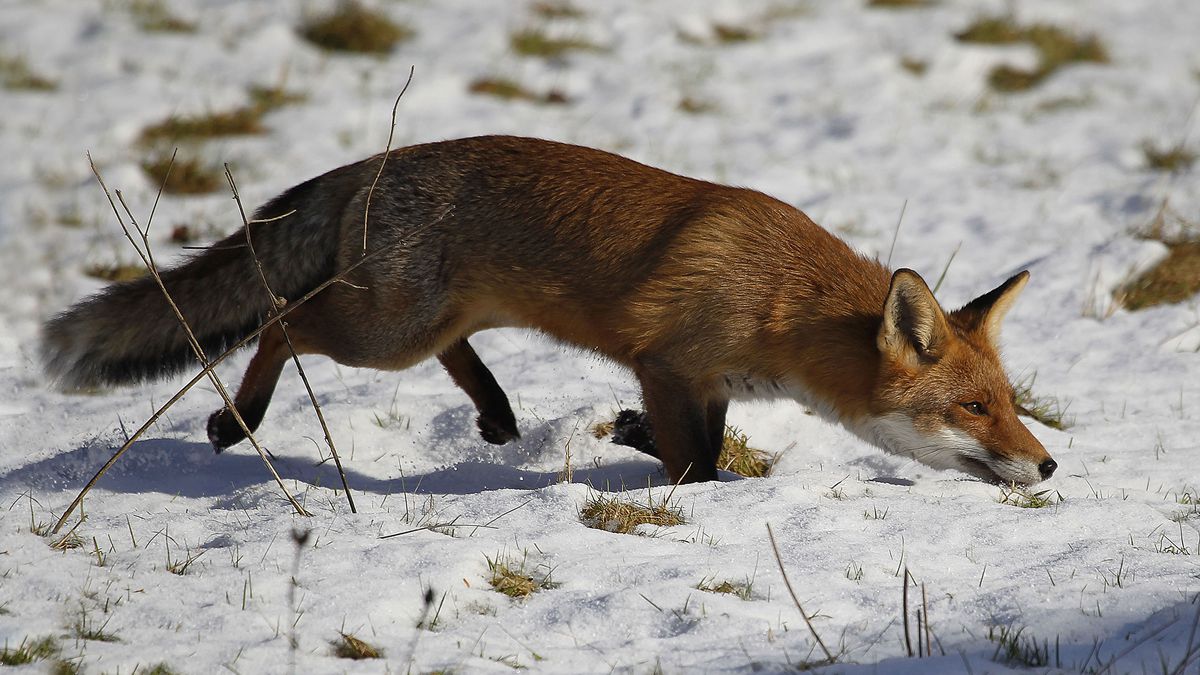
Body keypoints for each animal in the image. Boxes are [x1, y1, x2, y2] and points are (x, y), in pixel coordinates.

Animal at [41, 135, 1056, 486]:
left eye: (1009, 402)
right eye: (972, 408)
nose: (1048, 465)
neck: (781, 302)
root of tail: (368, 162)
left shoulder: (707, 382)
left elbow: (698, 445)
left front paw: (630, 436)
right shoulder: (668, 359)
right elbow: (697, 465)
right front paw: (674, 475)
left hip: (424, 324)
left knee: (448, 349)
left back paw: (496, 412)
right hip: (382, 336)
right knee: (278, 321)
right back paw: (236, 418)